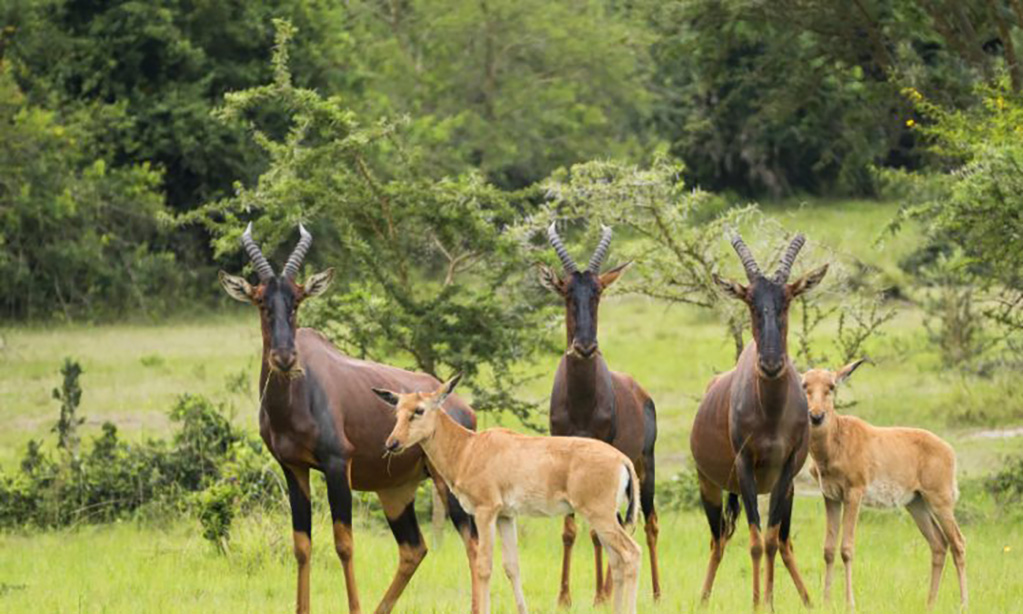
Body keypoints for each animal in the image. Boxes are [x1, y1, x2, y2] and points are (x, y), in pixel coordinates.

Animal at [216, 223, 478, 614]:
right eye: (261, 301)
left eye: (297, 300)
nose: (285, 358)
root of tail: (462, 407)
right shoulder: (293, 468)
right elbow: (302, 545)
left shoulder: (338, 464)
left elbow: (344, 543)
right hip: (395, 490)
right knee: (413, 548)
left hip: (447, 482)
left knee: (473, 540)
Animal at [372, 374, 638, 614]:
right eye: (397, 411)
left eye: (419, 410)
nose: (392, 444)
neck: (469, 448)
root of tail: (622, 460)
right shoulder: (506, 517)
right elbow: (512, 566)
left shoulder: (485, 511)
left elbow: (484, 566)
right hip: (603, 519)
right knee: (616, 562)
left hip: (601, 517)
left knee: (631, 553)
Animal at [536, 222, 662, 605]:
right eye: (566, 292)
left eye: (598, 293)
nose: (585, 346)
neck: (582, 402)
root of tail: (642, 392)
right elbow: (569, 529)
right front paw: (564, 597)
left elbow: (597, 533)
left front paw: (600, 596)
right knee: (622, 524)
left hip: (644, 466)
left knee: (647, 523)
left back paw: (654, 593)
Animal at [691, 230, 826, 609]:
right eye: (750, 300)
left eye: (788, 299)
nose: (770, 363)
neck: (771, 414)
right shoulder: (745, 467)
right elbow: (753, 541)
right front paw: (756, 603)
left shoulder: (786, 469)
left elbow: (770, 539)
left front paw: (769, 601)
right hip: (710, 485)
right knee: (718, 540)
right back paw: (703, 599)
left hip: (788, 488)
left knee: (782, 541)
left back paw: (808, 600)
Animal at [806, 362, 965, 605]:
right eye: (805, 384)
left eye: (831, 386)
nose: (816, 416)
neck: (837, 440)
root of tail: (949, 450)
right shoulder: (831, 497)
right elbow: (829, 549)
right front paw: (826, 602)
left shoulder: (854, 494)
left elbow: (847, 548)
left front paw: (850, 603)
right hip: (916, 504)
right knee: (939, 544)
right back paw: (930, 603)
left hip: (940, 501)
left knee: (958, 543)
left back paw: (964, 604)